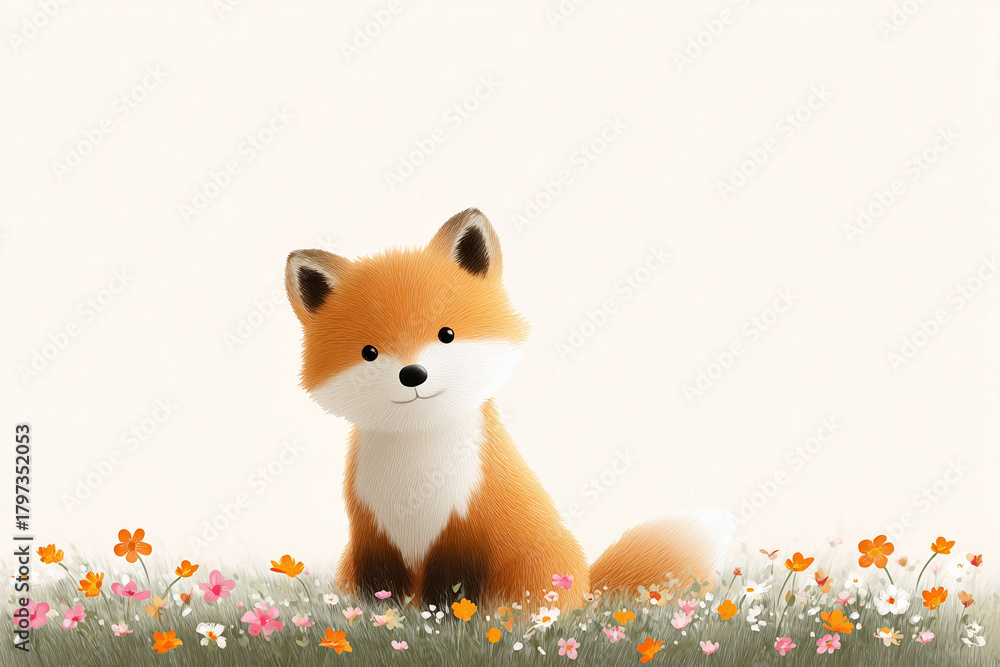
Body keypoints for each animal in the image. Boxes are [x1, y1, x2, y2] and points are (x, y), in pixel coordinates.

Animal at [285, 208, 732, 608]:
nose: (413, 374)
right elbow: (380, 596)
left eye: (446, 334)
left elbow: (447, 598)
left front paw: (442, 625)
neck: (417, 477)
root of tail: (588, 588)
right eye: (369, 352)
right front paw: (380, 622)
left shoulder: (467, 530)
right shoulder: (373, 536)